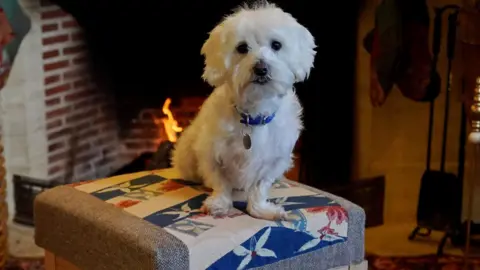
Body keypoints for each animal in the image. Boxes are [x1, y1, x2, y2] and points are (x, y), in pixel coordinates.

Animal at [172, 1, 316, 221]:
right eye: (242, 48)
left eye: (276, 45)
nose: (261, 69)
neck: (254, 114)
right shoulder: (211, 153)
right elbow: (220, 182)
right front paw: (219, 204)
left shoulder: (274, 160)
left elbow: (260, 187)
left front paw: (262, 209)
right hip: (186, 156)